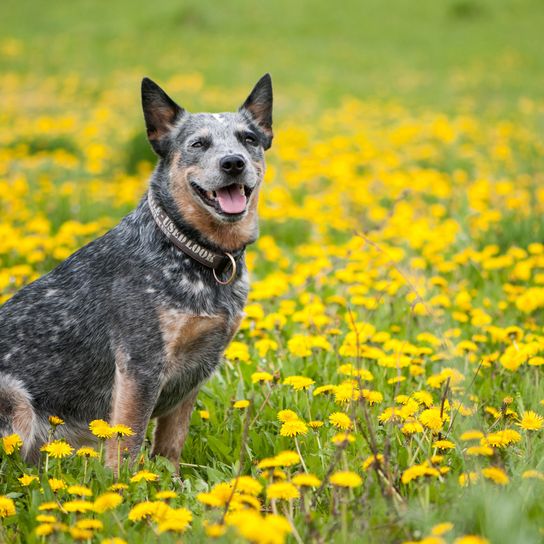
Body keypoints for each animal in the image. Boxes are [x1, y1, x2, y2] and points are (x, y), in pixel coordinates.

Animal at [0, 73, 272, 468]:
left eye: (249, 139)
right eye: (198, 144)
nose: (233, 163)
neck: (192, 251)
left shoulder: (198, 367)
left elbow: (170, 445)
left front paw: (167, 482)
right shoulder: (140, 366)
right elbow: (126, 445)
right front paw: (126, 485)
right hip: (17, 400)